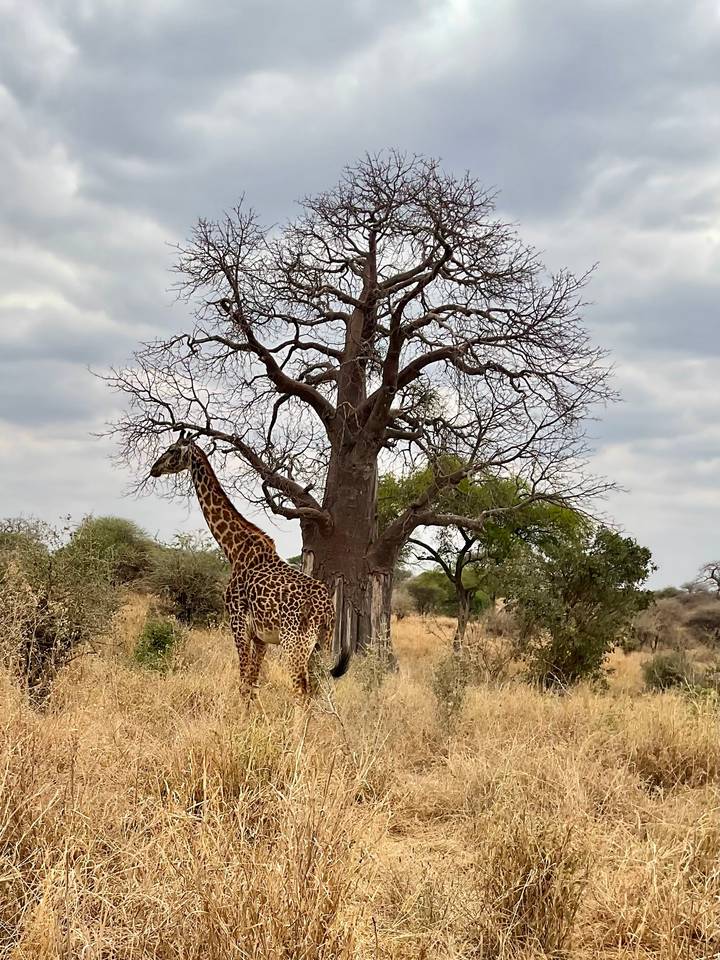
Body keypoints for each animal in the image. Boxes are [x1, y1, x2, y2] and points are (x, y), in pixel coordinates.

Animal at [148, 434, 350, 701]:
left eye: (172, 450)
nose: (154, 469)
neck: (234, 549)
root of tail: (326, 608)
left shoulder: (238, 624)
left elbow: (244, 683)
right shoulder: (261, 637)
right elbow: (253, 683)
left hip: (295, 642)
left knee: (301, 691)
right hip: (323, 643)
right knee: (322, 690)